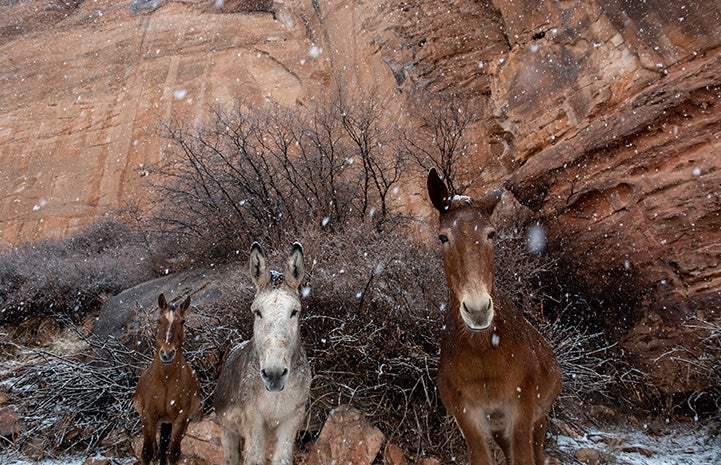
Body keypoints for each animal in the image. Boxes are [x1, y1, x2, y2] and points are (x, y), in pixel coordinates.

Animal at [133, 294, 202, 465]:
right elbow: (147, 453)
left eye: (182, 321)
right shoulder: (148, 417)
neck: (165, 380)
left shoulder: (181, 419)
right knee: (157, 449)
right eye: (158, 320)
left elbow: (173, 453)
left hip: (171, 422)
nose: (167, 354)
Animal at [214, 242, 311, 465]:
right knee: (231, 457)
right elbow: (254, 459)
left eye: (295, 312)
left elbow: (281, 459)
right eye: (257, 312)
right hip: (228, 430)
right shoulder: (254, 422)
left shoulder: (292, 420)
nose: (274, 374)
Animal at [427, 168, 562, 465]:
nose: (478, 310)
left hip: (539, 419)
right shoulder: (469, 417)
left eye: (491, 234)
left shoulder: (521, 409)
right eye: (443, 237)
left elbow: (525, 459)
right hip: (499, 429)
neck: (483, 354)